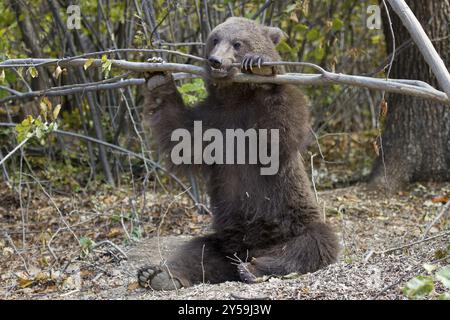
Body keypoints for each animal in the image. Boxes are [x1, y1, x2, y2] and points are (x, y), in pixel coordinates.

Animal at [137, 16, 338, 290]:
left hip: (293, 223)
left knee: (310, 244)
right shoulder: (212, 120)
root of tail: (248, 250)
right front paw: (157, 75)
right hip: (224, 241)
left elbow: (281, 124)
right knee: (197, 251)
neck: (235, 98)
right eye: (214, 39)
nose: (216, 61)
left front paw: (261, 68)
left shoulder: (257, 121)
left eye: (238, 43)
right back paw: (159, 275)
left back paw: (254, 268)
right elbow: (180, 134)